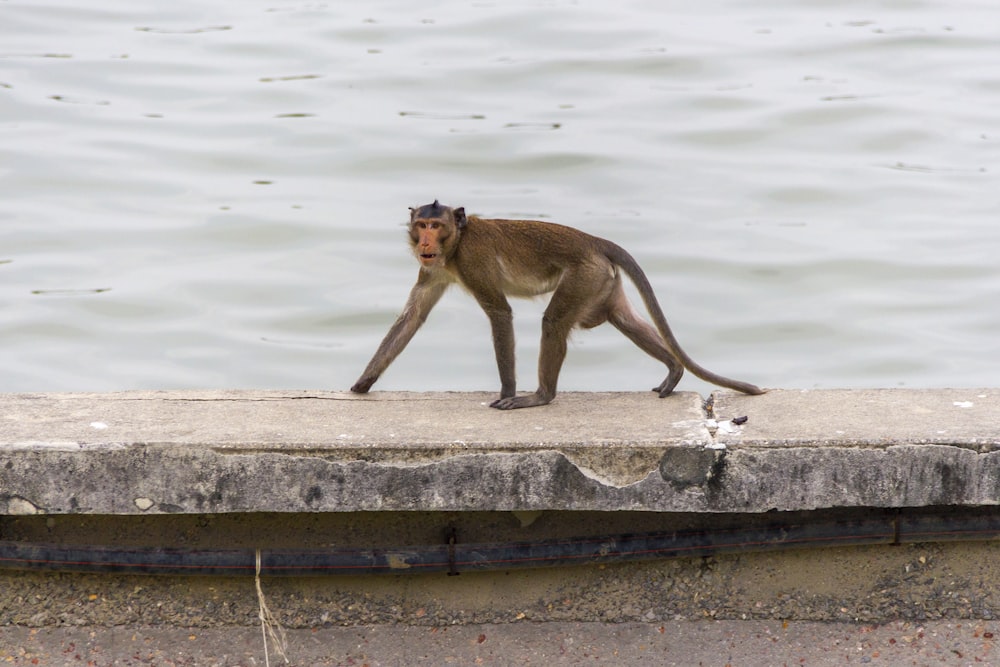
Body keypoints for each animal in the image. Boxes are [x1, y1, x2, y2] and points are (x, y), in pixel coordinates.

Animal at [352, 198, 764, 410]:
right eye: (421, 224)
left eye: (435, 226)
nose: (425, 242)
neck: (456, 244)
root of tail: (595, 241)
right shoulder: (435, 269)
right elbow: (412, 317)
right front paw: (362, 384)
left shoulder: (472, 262)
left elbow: (500, 313)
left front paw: (507, 392)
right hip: (601, 280)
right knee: (621, 317)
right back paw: (673, 368)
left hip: (583, 275)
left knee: (553, 322)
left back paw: (540, 397)